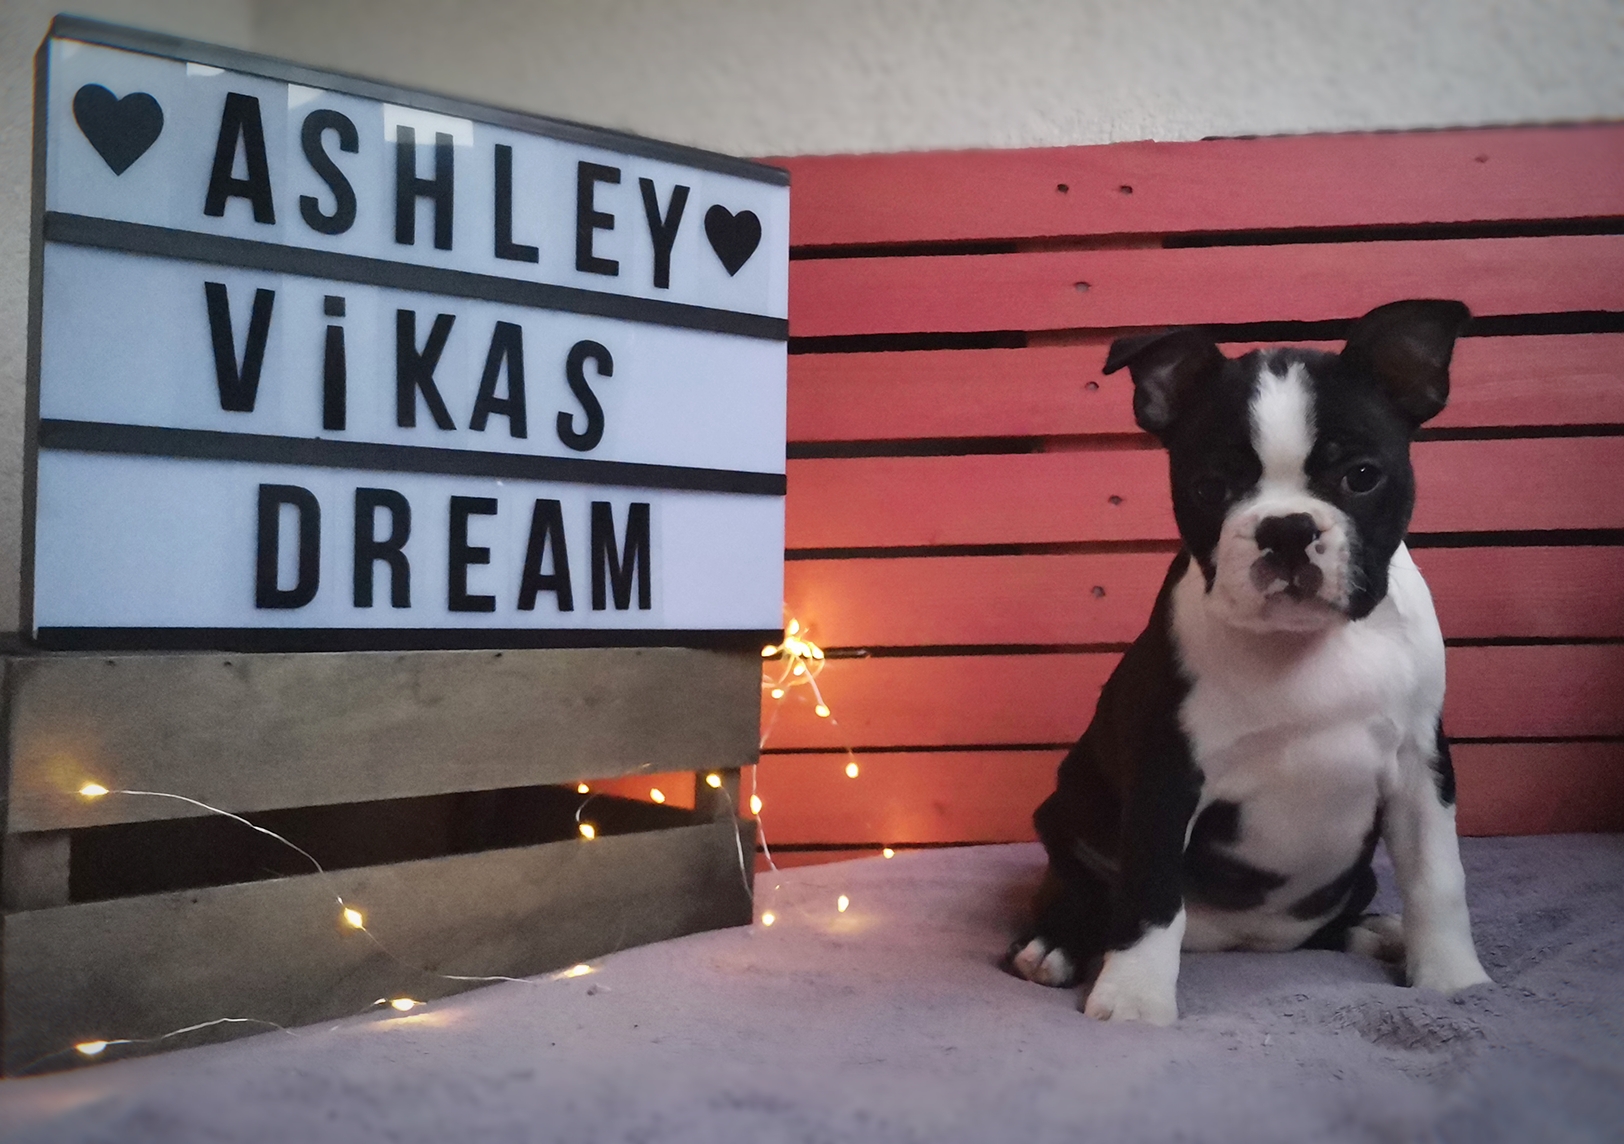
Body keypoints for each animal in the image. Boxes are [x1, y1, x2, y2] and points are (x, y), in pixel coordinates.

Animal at [1009, 299, 1492, 1024]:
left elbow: (1439, 879)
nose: (1286, 527)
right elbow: (1150, 891)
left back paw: (1376, 930)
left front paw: (1453, 980)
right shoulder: (1166, 774)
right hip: (1067, 814)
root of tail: (1239, 940)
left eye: (1361, 476)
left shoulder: (1420, 767)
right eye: (1211, 487)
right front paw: (1135, 999)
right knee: (1085, 890)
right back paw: (1053, 947)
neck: (1304, 644)